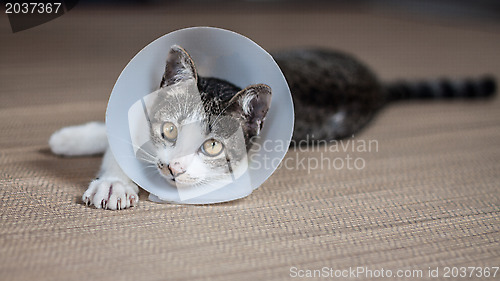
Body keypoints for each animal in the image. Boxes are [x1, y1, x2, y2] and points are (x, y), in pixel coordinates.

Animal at [48, 44, 494, 209]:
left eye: (213, 146)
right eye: (169, 130)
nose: (173, 166)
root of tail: (376, 85)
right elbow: (120, 135)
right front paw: (108, 174)